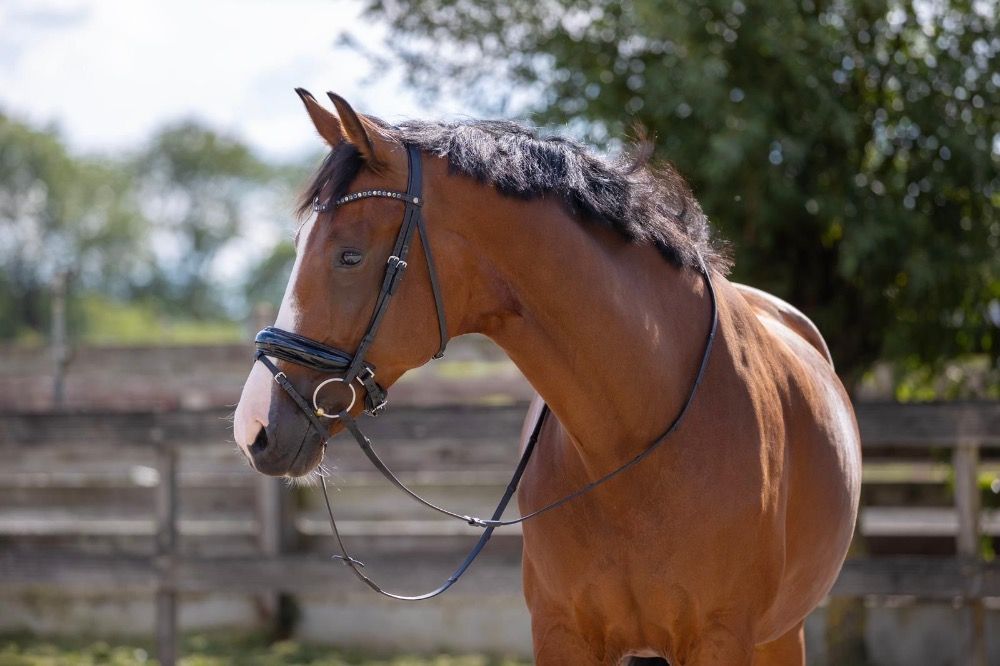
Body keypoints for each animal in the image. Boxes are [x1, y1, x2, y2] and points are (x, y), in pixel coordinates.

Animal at [233, 89, 861, 665]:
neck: (633, 445)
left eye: (349, 256)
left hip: (781, 634)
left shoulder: (723, 639)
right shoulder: (563, 635)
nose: (252, 428)